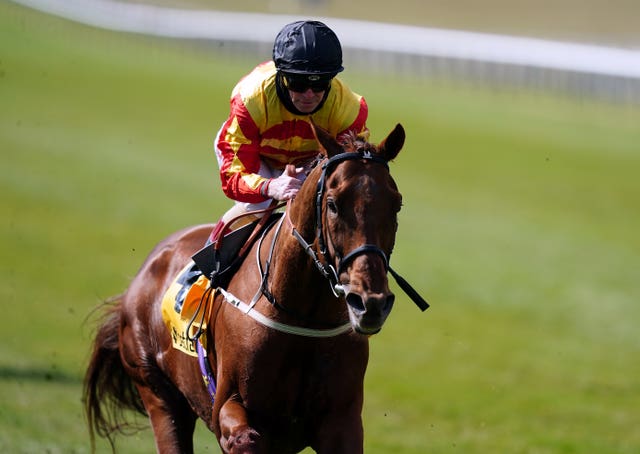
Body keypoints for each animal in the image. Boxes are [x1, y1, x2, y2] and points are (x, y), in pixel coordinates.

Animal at [84, 121, 420, 454]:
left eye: (397, 204)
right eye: (333, 204)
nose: (370, 302)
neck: (302, 317)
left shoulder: (341, 421)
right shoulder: (227, 407)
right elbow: (244, 437)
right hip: (158, 394)